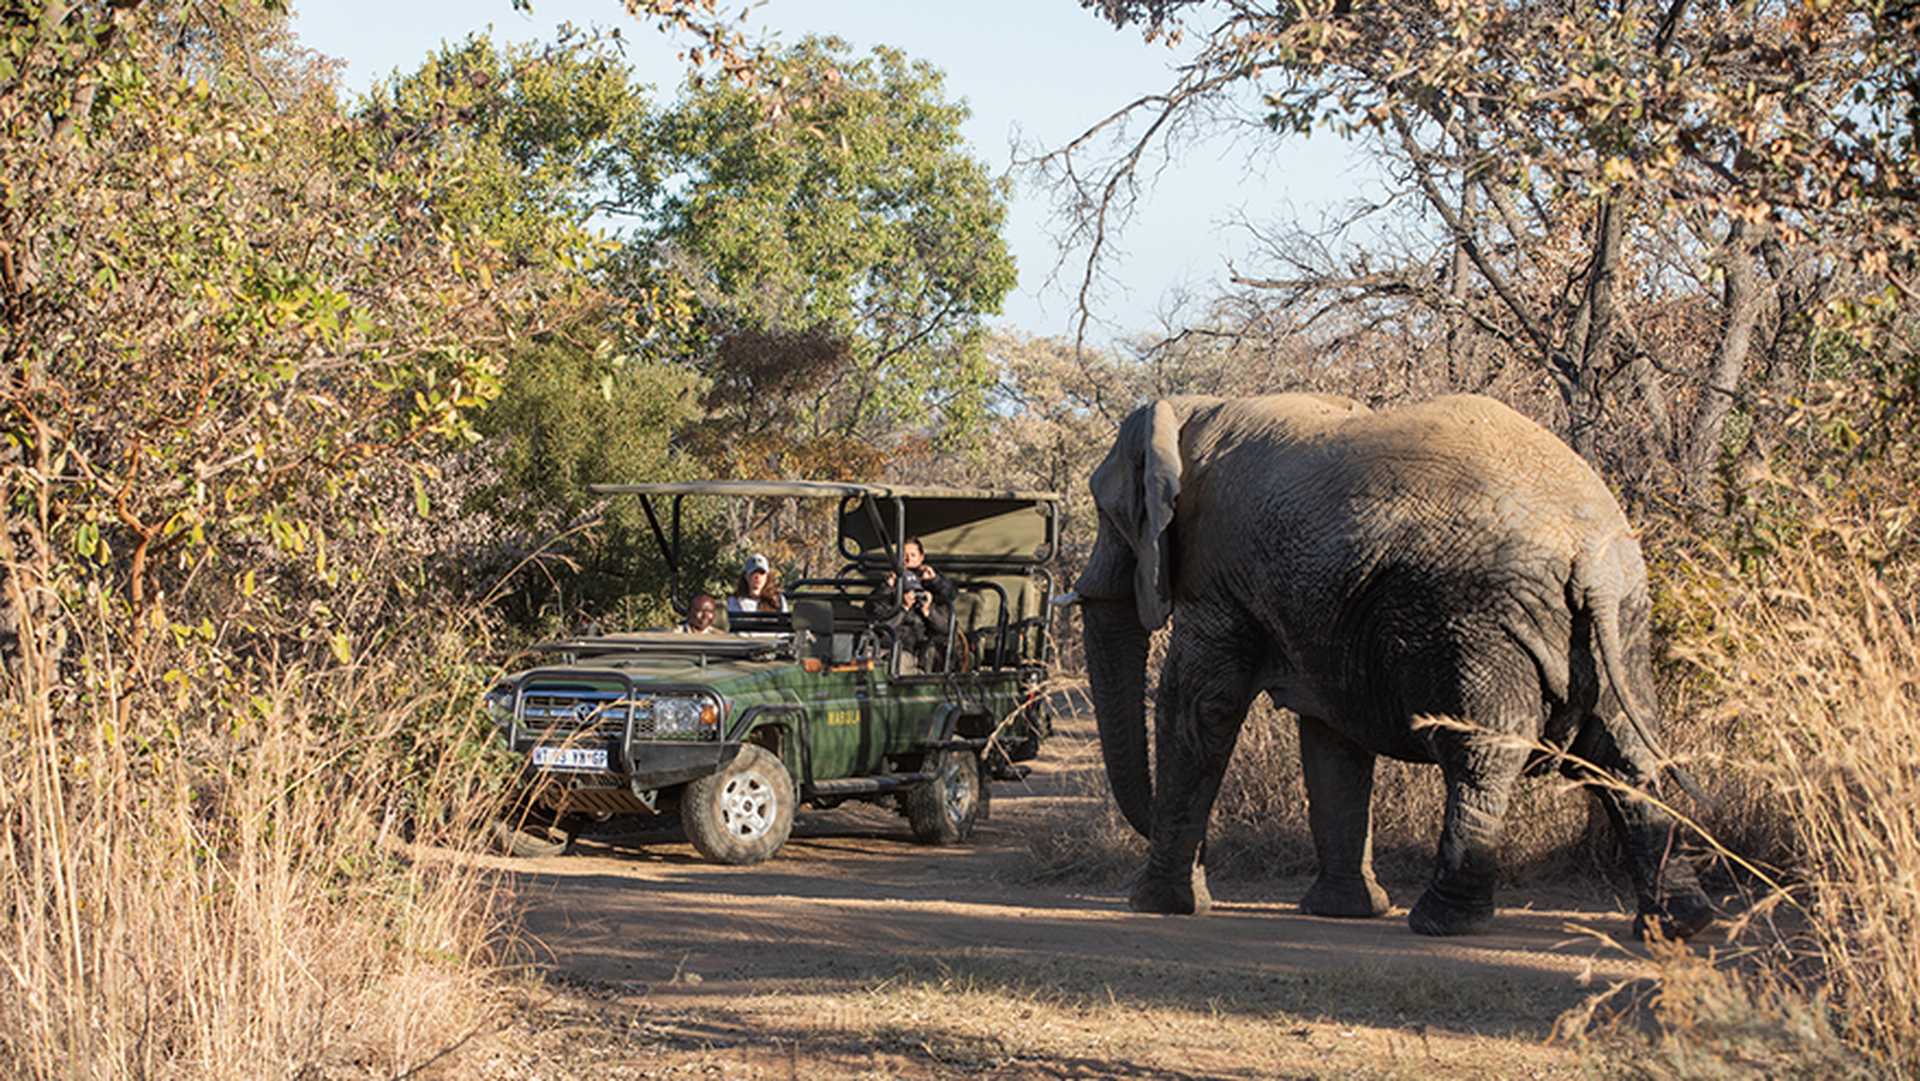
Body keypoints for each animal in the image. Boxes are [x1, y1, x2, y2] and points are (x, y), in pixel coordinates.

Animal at [1073, 392, 1713, 939]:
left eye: (1109, 513)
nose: (1211, 858)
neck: (1193, 410)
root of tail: (1589, 552)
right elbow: (1331, 738)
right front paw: (1343, 911)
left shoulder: (1221, 572)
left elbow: (1199, 706)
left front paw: (1156, 904)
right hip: (1622, 622)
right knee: (1625, 757)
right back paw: (1677, 924)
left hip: (1478, 618)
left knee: (1483, 756)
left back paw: (1442, 921)